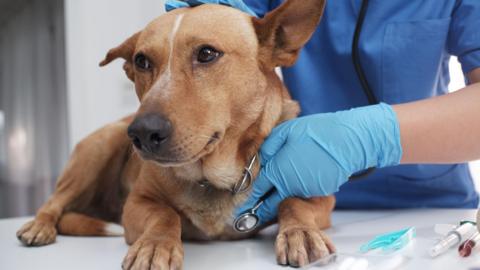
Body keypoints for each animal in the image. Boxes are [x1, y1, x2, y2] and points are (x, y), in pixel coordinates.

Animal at [16, 0, 336, 268]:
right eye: (142, 61)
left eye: (206, 53)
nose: (142, 133)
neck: (212, 177)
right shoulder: (136, 204)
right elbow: (164, 214)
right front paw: (155, 245)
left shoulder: (322, 198)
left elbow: (293, 202)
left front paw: (301, 232)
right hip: (101, 145)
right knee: (53, 202)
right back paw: (39, 226)